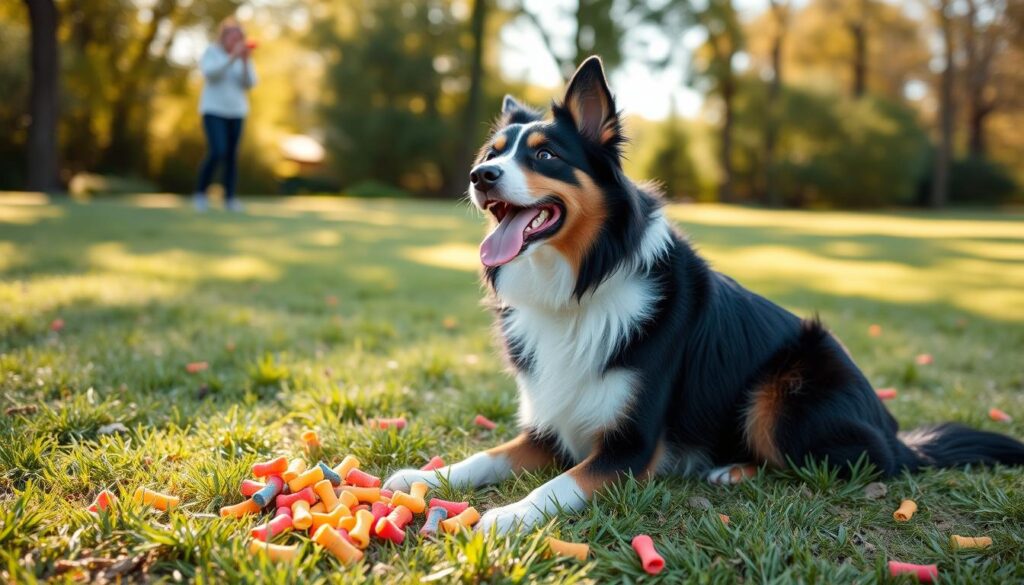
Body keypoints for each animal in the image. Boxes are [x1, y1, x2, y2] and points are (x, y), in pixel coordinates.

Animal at [385, 56, 1024, 536]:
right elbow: (489, 454)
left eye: (545, 155)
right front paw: (422, 477)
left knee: (849, 467)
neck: (581, 283)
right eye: (492, 154)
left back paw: (732, 471)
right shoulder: (551, 421)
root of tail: (896, 433)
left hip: (788, 388)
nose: (480, 177)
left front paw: (507, 516)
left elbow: (559, 485)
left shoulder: (632, 446)